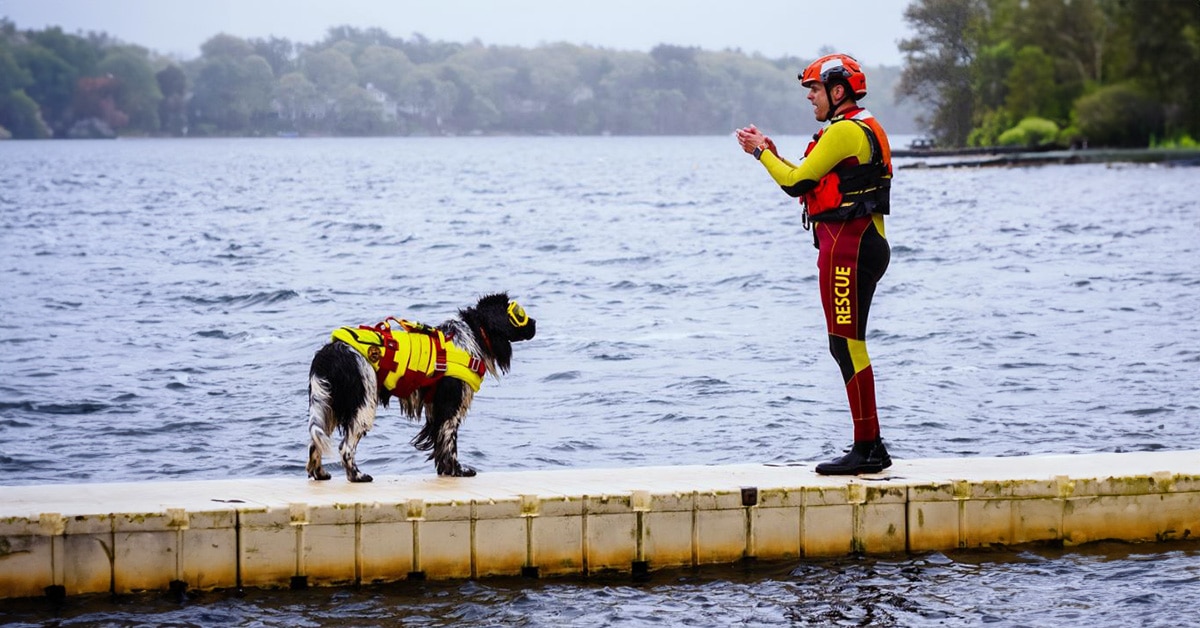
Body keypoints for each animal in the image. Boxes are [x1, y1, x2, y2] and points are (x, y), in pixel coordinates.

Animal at [307, 295, 537, 482]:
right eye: (519, 315)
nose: (535, 322)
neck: (473, 335)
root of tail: (329, 353)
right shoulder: (450, 408)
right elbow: (450, 444)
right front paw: (458, 471)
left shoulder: (435, 408)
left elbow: (440, 444)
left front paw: (446, 471)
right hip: (362, 405)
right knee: (345, 447)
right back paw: (357, 476)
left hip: (328, 406)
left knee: (315, 442)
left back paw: (320, 474)